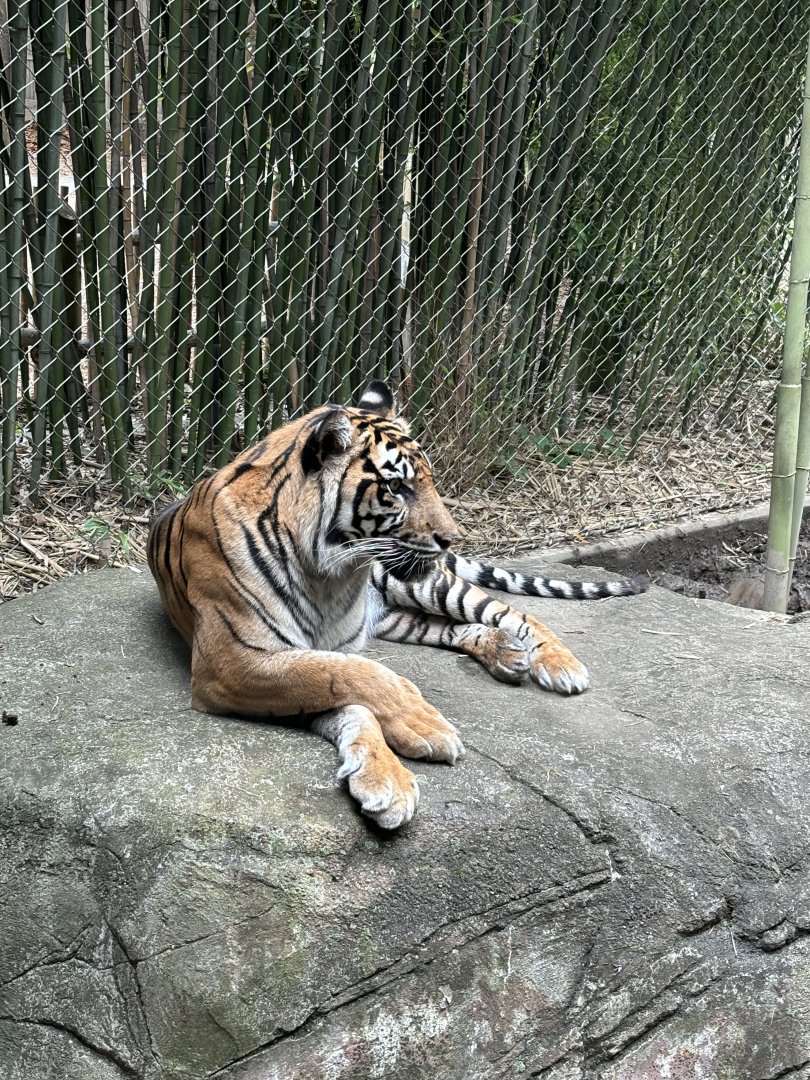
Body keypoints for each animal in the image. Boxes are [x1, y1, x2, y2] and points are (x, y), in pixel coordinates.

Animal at [147, 381, 648, 830]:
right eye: (397, 488)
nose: (452, 538)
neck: (329, 576)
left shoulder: (283, 656)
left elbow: (350, 677)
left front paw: (400, 755)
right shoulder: (233, 662)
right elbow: (350, 683)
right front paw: (407, 749)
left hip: (427, 586)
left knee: (515, 612)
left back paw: (559, 665)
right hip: (398, 616)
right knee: (453, 629)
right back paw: (507, 654)